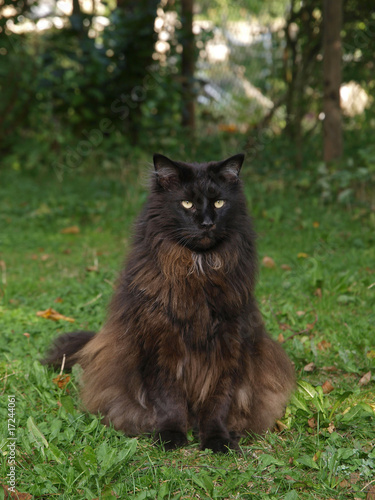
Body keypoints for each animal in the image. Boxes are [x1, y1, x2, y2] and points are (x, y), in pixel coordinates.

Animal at [44, 153, 296, 454]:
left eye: (219, 203)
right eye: (187, 203)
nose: (207, 223)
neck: (199, 267)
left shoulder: (229, 341)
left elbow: (218, 401)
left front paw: (217, 439)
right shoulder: (159, 341)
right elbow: (168, 398)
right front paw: (171, 435)